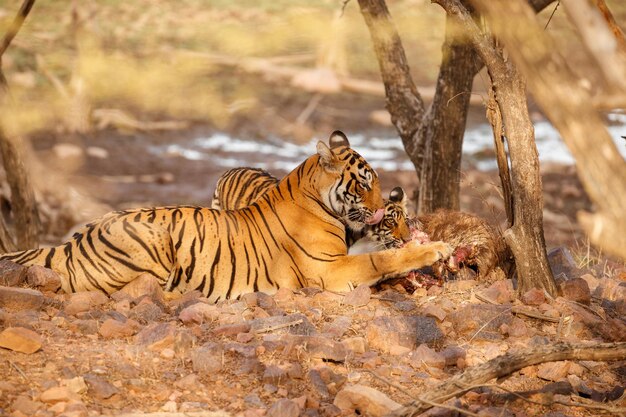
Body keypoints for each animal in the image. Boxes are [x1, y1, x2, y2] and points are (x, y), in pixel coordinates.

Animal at [0, 131, 448, 300]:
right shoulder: (329, 270)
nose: (380, 207)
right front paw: (434, 250)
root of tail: (74, 241)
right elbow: (382, 259)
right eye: (365, 182)